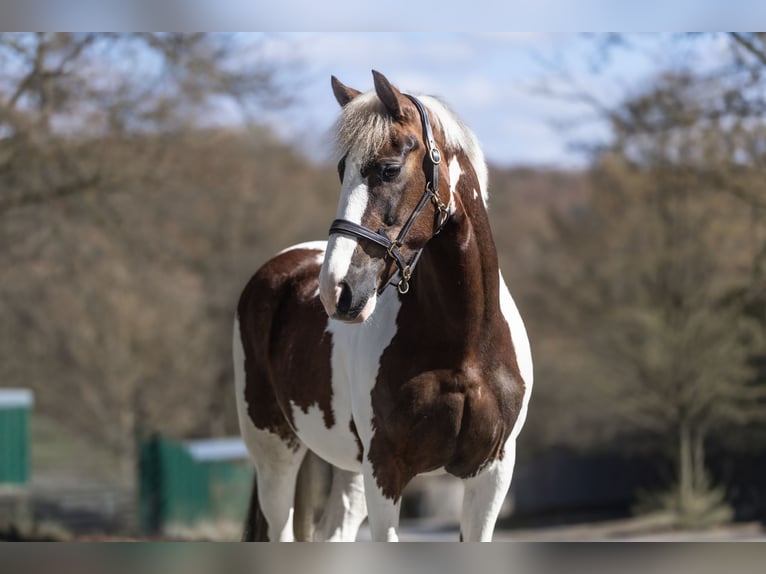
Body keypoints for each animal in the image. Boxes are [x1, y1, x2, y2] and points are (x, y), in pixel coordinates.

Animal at [234, 70, 533, 542]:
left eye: (388, 169)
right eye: (342, 170)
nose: (336, 291)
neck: (465, 346)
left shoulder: (491, 473)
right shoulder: (386, 471)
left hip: (349, 468)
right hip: (275, 454)